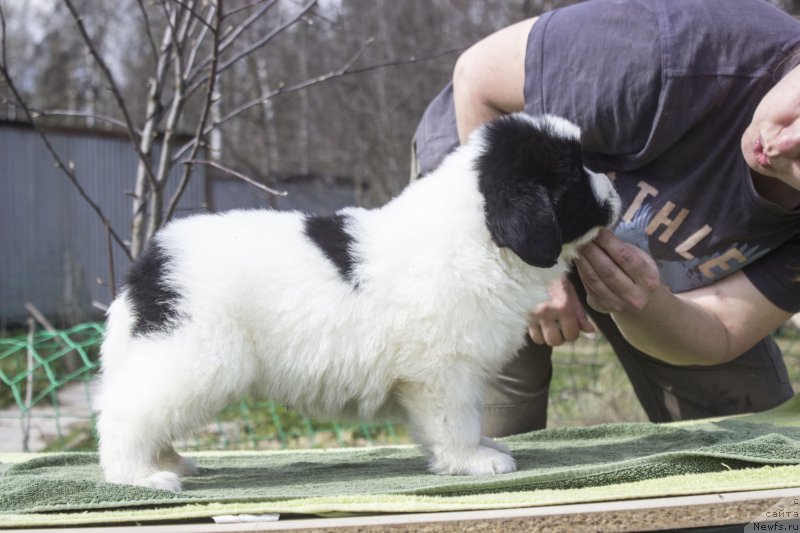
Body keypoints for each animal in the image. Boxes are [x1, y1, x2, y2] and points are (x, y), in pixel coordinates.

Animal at [92, 112, 620, 490]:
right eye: (574, 175)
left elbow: (454, 422)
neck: (479, 235)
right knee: (125, 413)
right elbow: (456, 420)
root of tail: (151, 262)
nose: (615, 190)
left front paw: (470, 452)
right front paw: (474, 460)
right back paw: (140, 474)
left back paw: (170, 461)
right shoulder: (443, 372)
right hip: (194, 357)